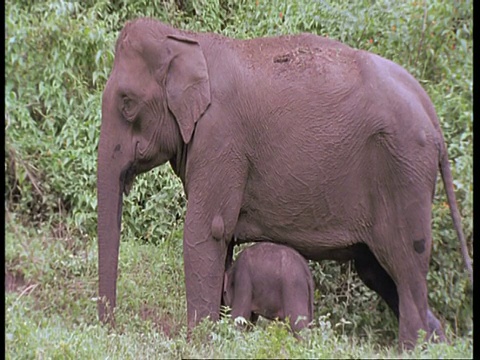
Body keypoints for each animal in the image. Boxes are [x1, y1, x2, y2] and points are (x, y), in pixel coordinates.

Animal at [97, 17, 472, 348]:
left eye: (127, 103)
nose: (111, 328)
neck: (187, 39)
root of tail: (431, 112)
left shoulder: (221, 139)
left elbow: (206, 231)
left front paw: (200, 344)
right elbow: (223, 239)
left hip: (404, 169)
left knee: (405, 266)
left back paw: (413, 347)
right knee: (378, 271)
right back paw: (437, 343)